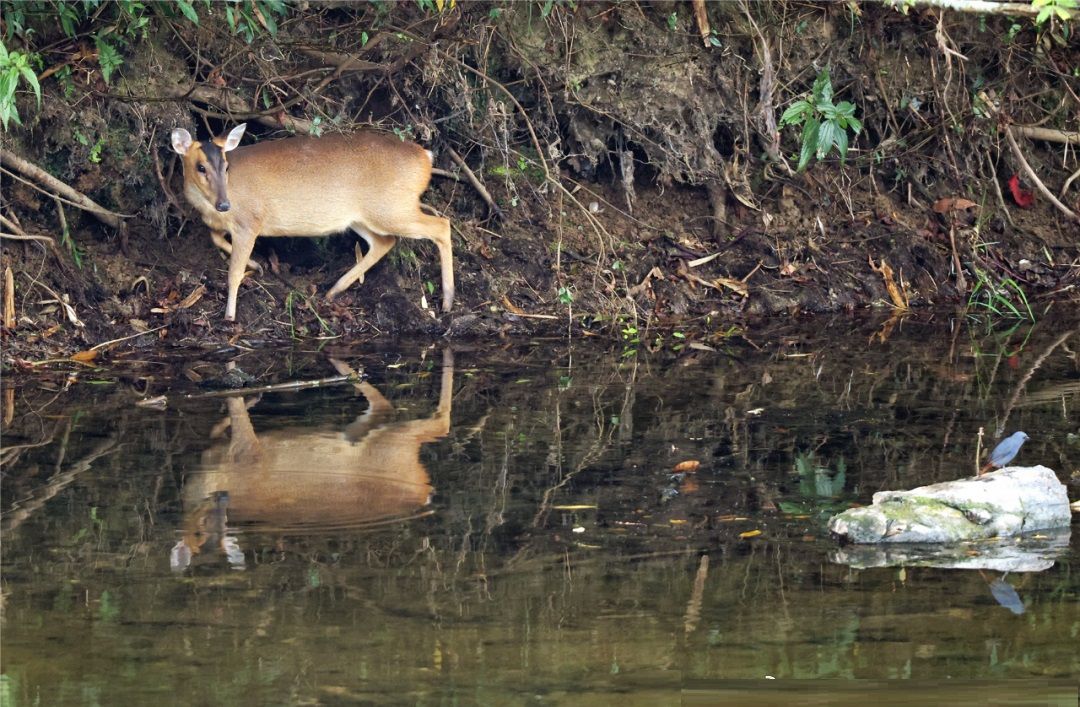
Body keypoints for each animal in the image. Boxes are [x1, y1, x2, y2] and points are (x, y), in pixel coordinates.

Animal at [169, 124, 455, 321]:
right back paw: (333, 291)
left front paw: (230, 315)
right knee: (385, 241)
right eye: (200, 167)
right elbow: (216, 237)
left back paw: (448, 302)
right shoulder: (225, 225)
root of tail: (426, 157)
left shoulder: (250, 221)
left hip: (393, 207)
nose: (224, 204)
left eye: (226, 166)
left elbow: (233, 272)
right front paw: (257, 266)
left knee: (442, 224)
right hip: (362, 216)